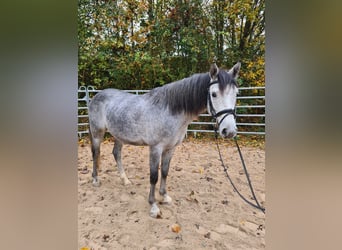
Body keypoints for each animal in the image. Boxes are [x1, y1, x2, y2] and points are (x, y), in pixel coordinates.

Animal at [88, 62, 240, 217]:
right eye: (214, 94)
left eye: (236, 93)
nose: (229, 131)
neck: (169, 111)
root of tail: (97, 96)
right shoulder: (156, 148)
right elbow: (154, 176)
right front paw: (153, 205)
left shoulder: (170, 148)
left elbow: (165, 172)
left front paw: (165, 196)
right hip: (97, 133)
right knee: (96, 153)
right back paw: (95, 180)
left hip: (119, 135)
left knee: (116, 153)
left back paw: (125, 180)